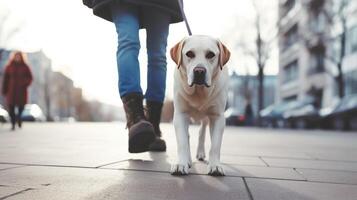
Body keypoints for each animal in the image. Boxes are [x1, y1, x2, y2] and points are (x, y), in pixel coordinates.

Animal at [170, 35, 231, 176]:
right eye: (189, 54)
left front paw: (215, 165)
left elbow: (215, 145)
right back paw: (188, 160)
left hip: (206, 119)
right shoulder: (180, 115)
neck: (199, 91)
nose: (199, 71)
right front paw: (181, 163)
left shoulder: (218, 117)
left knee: (201, 132)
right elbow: (182, 142)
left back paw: (201, 153)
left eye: (210, 55)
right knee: (187, 136)